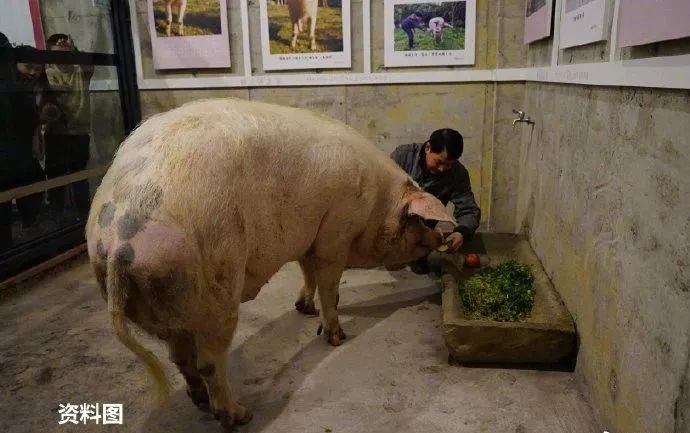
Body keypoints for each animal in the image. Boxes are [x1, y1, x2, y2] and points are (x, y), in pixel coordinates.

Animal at [84, 98, 452, 428]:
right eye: (421, 221)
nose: (444, 238)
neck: (377, 203)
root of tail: (120, 239)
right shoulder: (335, 234)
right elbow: (329, 285)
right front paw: (336, 336)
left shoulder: (308, 237)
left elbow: (307, 274)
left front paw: (303, 309)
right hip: (215, 284)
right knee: (209, 360)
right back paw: (239, 416)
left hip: (167, 299)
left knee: (180, 357)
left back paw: (199, 400)